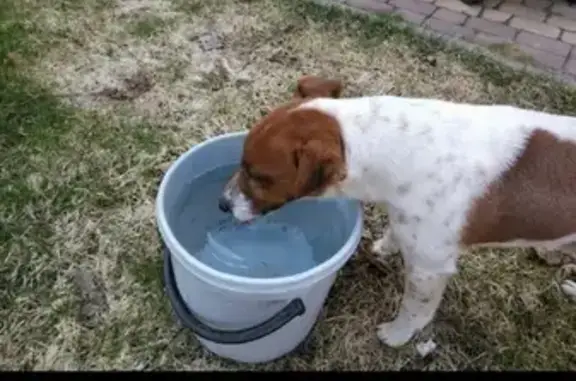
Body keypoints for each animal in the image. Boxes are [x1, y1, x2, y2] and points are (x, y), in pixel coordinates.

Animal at [219, 76, 576, 348]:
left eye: (259, 177)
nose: (221, 203)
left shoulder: (429, 268)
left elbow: (415, 310)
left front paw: (397, 335)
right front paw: (386, 246)